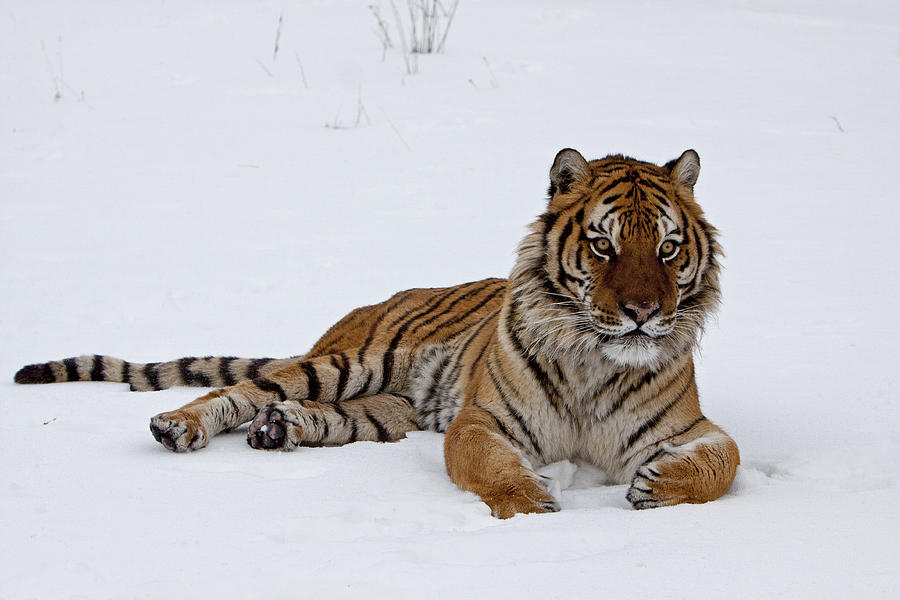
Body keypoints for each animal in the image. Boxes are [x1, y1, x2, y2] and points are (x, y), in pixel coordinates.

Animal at [15, 148, 740, 516]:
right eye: (603, 245)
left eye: (668, 247)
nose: (644, 311)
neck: (598, 359)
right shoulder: (481, 421)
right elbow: (486, 464)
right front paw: (527, 501)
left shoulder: (687, 427)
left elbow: (724, 461)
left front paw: (658, 486)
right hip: (347, 362)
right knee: (240, 391)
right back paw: (178, 427)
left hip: (387, 409)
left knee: (321, 415)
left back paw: (281, 430)